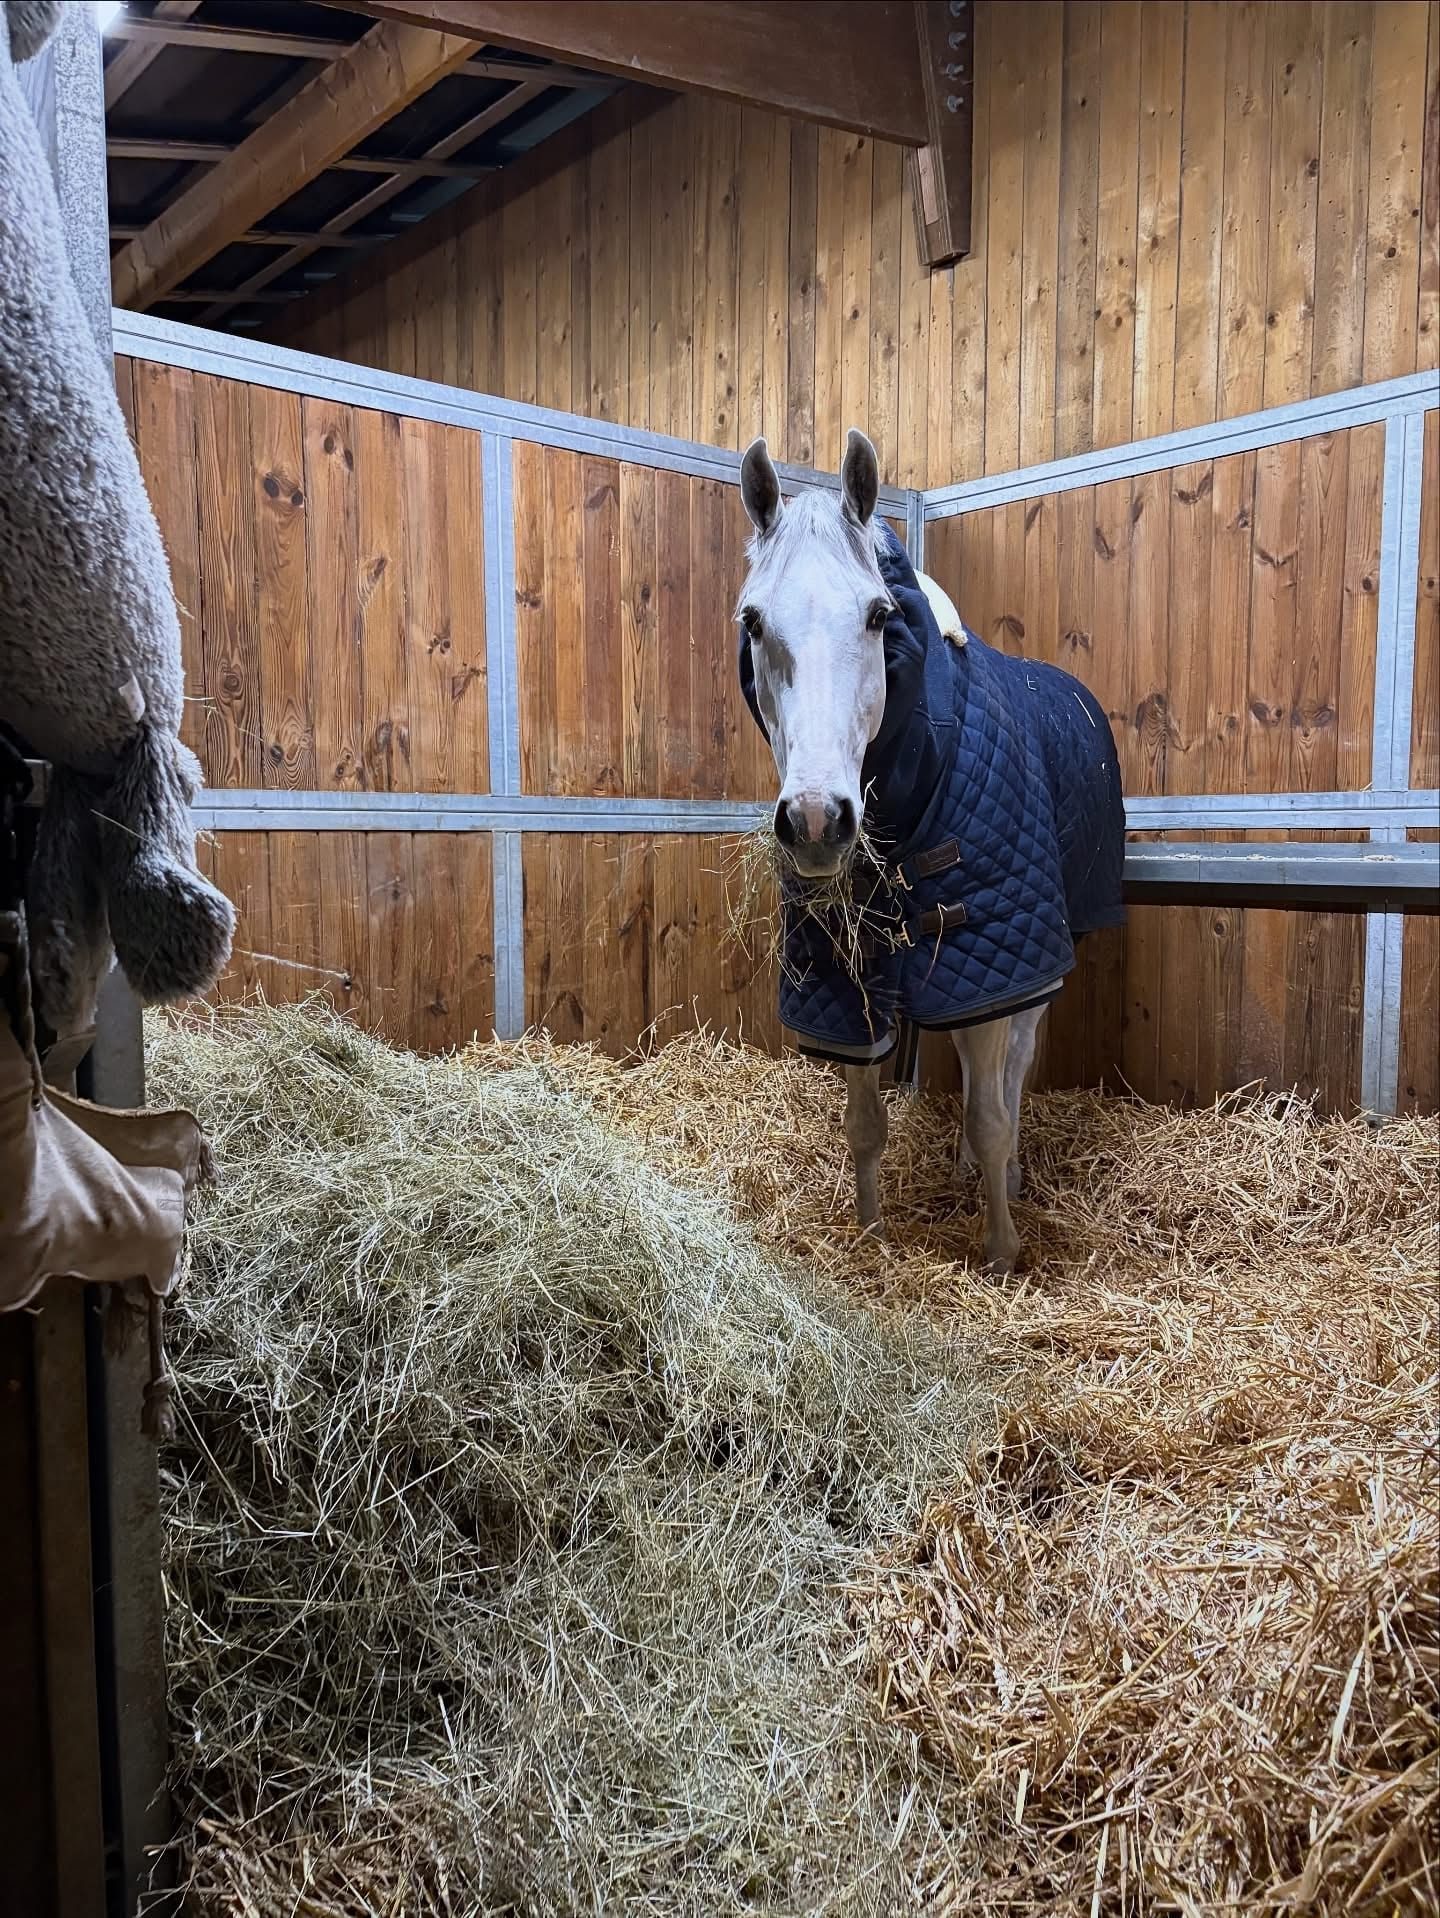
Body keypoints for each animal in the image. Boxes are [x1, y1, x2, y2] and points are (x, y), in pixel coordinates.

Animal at [735, 428, 1126, 1273]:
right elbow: (866, 1126)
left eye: (879, 615)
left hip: (1032, 966)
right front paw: (871, 1233)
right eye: (752, 622)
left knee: (1013, 1071)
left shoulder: (999, 963)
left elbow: (992, 1114)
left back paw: (1004, 1176)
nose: (816, 821)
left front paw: (1002, 1253)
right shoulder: (849, 985)